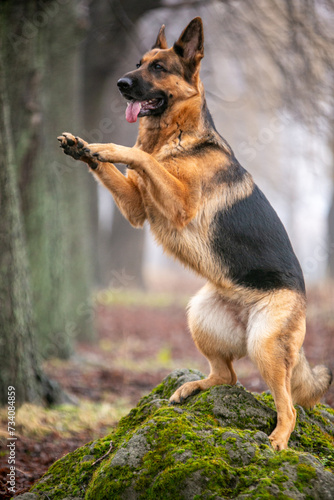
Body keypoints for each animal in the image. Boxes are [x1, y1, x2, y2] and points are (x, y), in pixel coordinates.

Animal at [58, 17, 332, 452]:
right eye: (139, 62)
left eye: (158, 68)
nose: (120, 83)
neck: (174, 136)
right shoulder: (136, 209)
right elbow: (123, 168)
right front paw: (83, 148)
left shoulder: (179, 202)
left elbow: (139, 156)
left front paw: (107, 146)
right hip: (199, 316)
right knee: (228, 375)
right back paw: (193, 387)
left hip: (264, 344)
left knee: (287, 405)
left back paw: (277, 440)